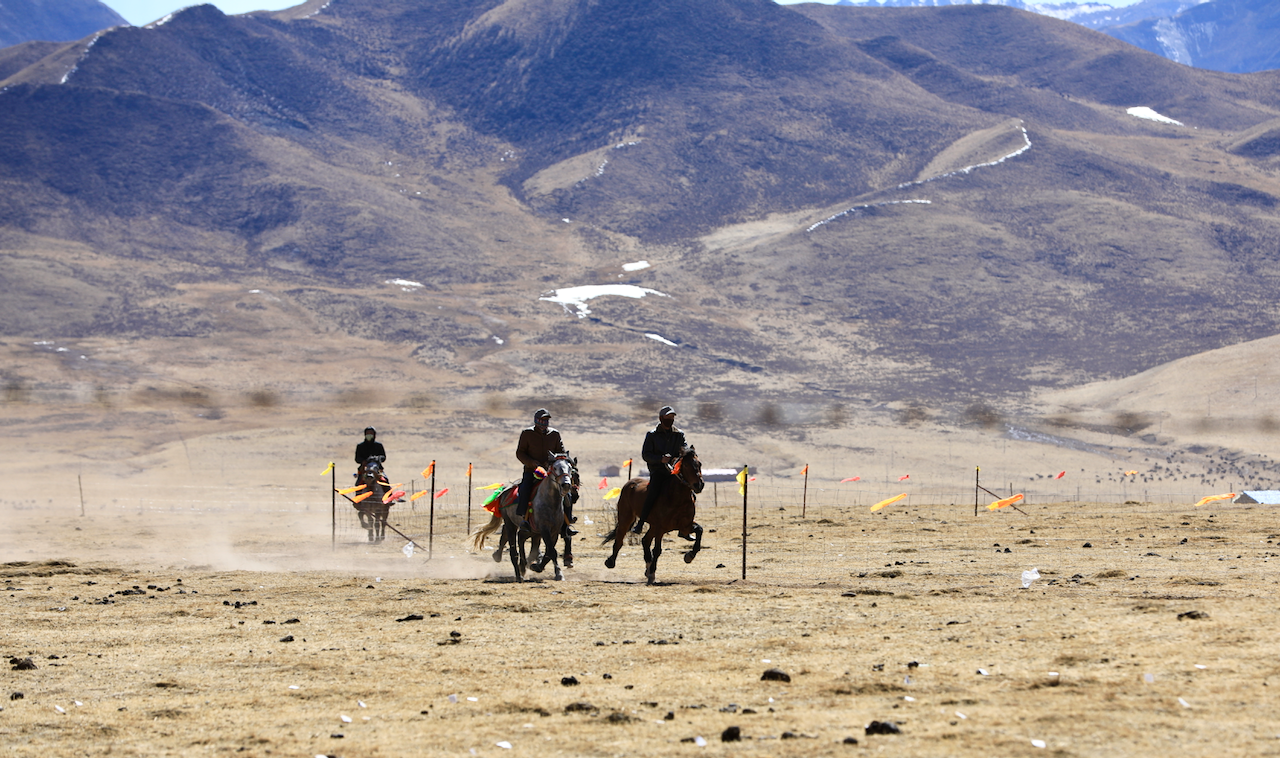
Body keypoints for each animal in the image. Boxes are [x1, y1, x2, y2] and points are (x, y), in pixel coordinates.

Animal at [601, 443, 706, 586]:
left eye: (699, 463)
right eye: (685, 465)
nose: (699, 485)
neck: (678, 498)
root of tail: (630, 483)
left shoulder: (685, 526)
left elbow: (700, 530)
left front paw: (689, 556)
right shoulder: (661, 528)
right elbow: (657, 550)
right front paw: (652, 575)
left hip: (653, 526)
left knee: (645, 540)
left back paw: (647, 567)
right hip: (626, 518)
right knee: (620, 540)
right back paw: (611, 561)